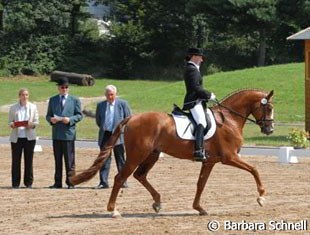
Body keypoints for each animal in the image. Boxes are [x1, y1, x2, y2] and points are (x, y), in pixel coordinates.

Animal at [69, 88, 274, 217]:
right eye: (269, 108)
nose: (269, 130)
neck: (229, 119)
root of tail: (133, 117)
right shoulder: (229, 157)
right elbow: (254, 169)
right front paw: (261, 197)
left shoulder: (209, 161)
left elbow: (201, 184)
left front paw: (199, 208)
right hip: (137, 154)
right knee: (121, 177)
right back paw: (113, 210)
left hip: (152, 154)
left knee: (140, 175)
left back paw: (157, 202)